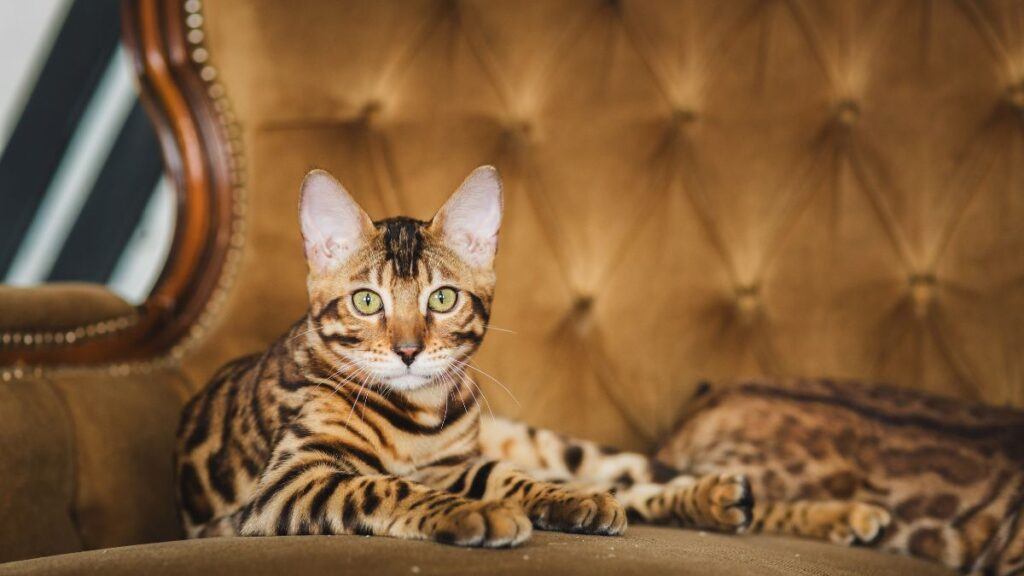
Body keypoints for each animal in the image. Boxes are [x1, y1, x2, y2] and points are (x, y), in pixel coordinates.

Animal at [178, 167, 888, 545]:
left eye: (441, 299)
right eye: (365, 301)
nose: (408, 351)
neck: (420, 416)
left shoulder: (461, 463)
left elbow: (512, 478)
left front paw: (547, 499)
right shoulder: (286, 484)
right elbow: (384, 485)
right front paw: (475, 514)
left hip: (571, 447)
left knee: (634, 481)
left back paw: (775, 505)